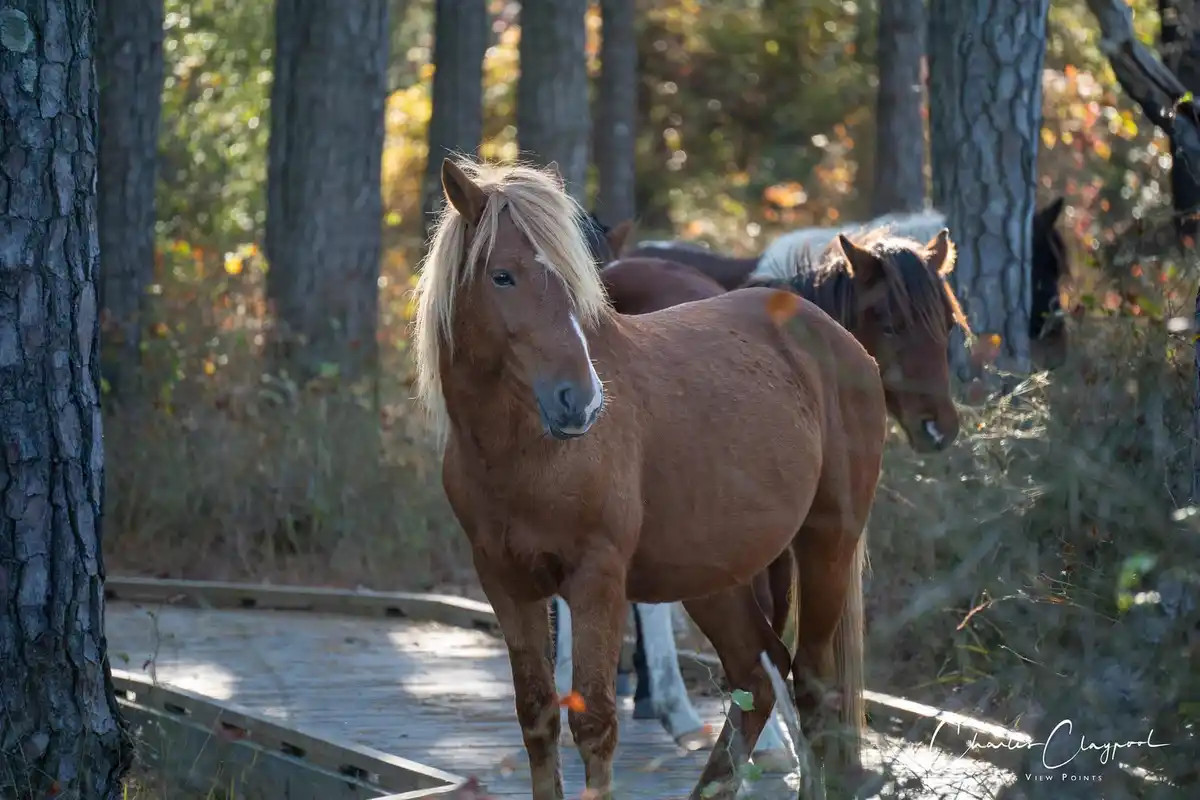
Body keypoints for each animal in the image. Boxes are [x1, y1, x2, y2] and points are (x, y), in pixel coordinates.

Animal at [413, 156, 888, 799]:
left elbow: (594, 723)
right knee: (757, 675)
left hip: (827, 542)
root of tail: (840, 341)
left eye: (578, 283)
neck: (525, 453)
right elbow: (538, 716)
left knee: (812, 685)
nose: (580, 401)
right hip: (713, 574)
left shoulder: (597, 578)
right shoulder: (506, 583)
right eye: (502, 276)